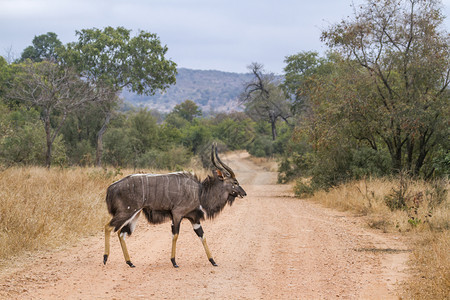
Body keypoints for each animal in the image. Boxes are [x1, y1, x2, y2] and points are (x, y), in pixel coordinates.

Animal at [103, 144, 248, 268]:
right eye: (235, 182)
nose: (244, 193)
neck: (200, 192)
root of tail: (111, 188)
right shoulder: (177, 215)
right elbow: (176, 235)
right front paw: (174, 262)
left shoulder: (194, 219)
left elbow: (202, 235)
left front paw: (213, 261)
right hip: (126, 211)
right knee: (108, 227)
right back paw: (105, 258)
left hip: (135, 214)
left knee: (121, 233)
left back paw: (130, 262)